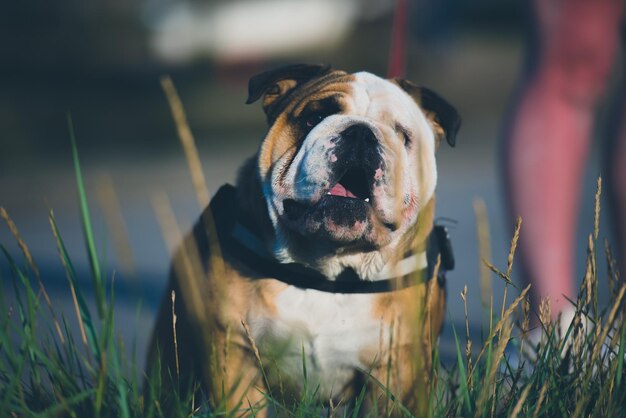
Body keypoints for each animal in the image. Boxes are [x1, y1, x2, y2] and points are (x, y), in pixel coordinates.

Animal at [146, 62, 458, 414]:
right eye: (314, 117)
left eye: (402, 135)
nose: (362, 133)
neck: (330, 268)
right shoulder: (236, 359)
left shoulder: (399, 369)